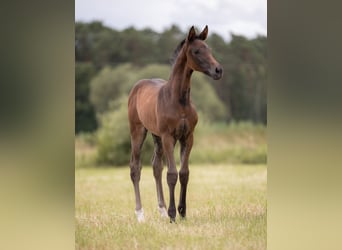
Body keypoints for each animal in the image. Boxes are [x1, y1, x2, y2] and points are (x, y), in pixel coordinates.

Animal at [127, 25, 222, 223]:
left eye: (209, 49)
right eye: (196, 51)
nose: (218, 70)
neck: (179, 99)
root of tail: (136, 87)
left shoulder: (188, 137)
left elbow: (184, 173)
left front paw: (182, 212)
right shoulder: (168, 137)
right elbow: (172, 174)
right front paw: (173, 214)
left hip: (156, 136)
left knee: (156, 166)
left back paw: (161, 210)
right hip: (138, 131)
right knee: (135, 168)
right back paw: (140, 214)